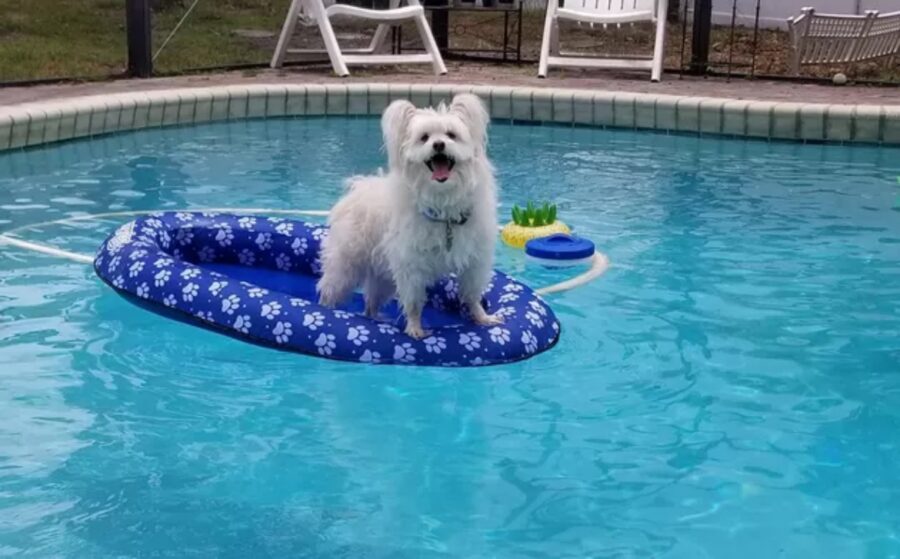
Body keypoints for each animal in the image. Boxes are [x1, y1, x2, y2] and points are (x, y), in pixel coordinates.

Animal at [316, 94, 500, 340]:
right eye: (424, 138)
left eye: (451, 135)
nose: (438, 144)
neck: (443, 201)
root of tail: (360, 187)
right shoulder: (411, 266)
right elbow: (413, 303)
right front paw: (415, 328)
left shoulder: (475, 262)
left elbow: (472, 294)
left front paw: (482, 317)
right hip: (345, 266)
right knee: (330, 291)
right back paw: (325, 311)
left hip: (382, 276)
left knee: (370, 304)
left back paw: (375, 318)